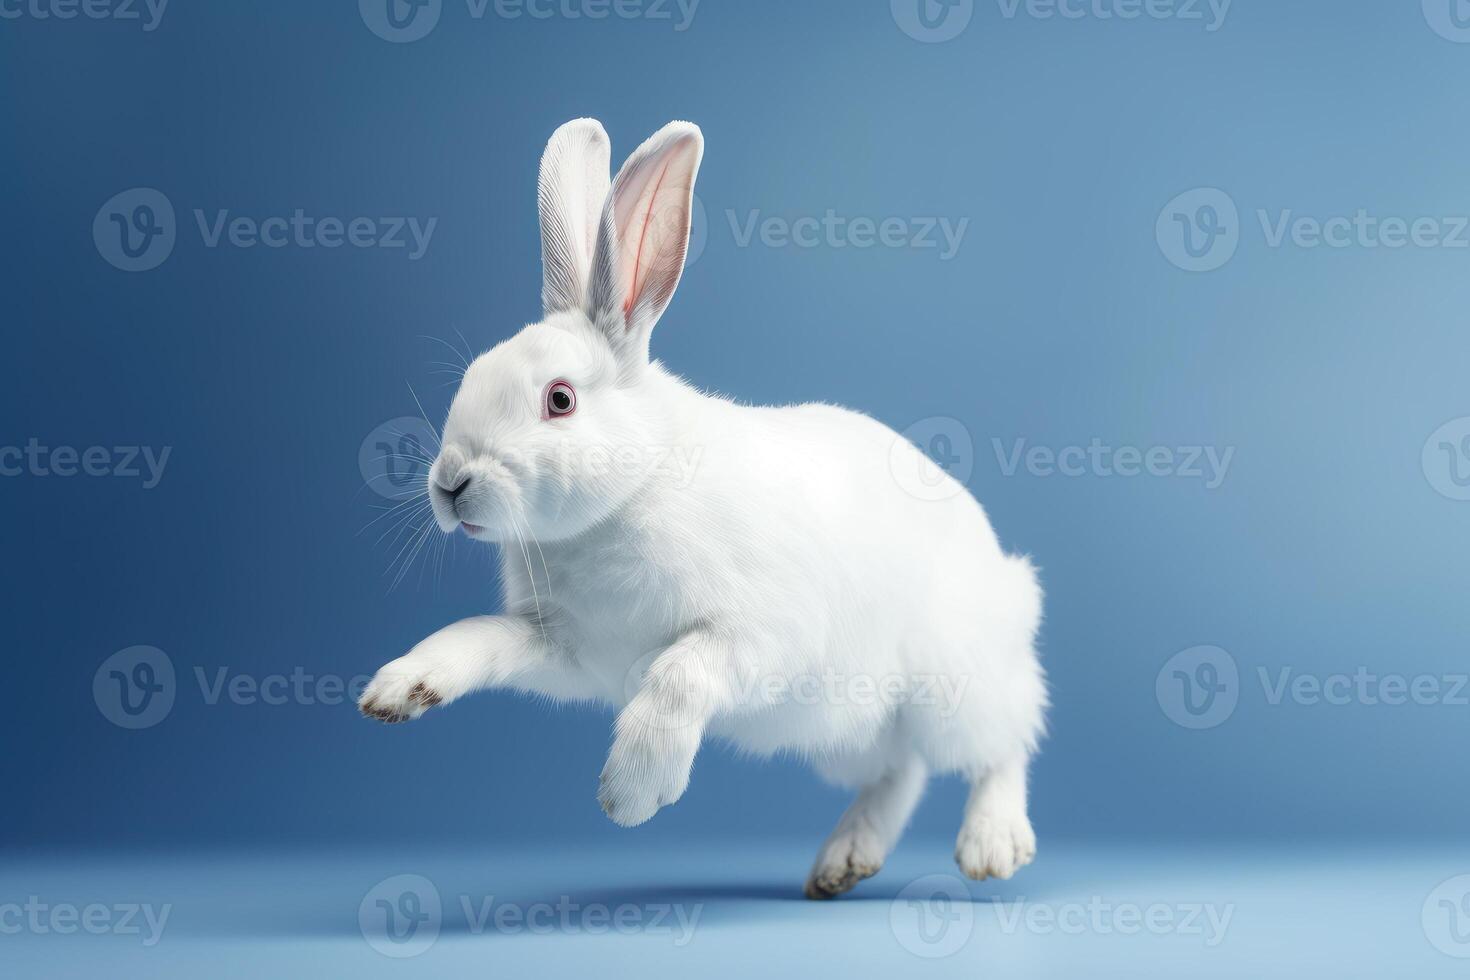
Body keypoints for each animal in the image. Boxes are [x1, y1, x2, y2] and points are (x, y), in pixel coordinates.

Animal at [355, 116, 1046, 899]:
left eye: (560, 400)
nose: (450, 484)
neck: (628, 496)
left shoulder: (755, 633)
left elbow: (679, 678)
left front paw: (630, 795)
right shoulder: (567, 649)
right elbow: (478, 637)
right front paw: (399, 689)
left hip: (954, 686)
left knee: (1002, 747)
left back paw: (991, 845)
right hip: (853, 731)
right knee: (900, 773)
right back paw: (843, 862)